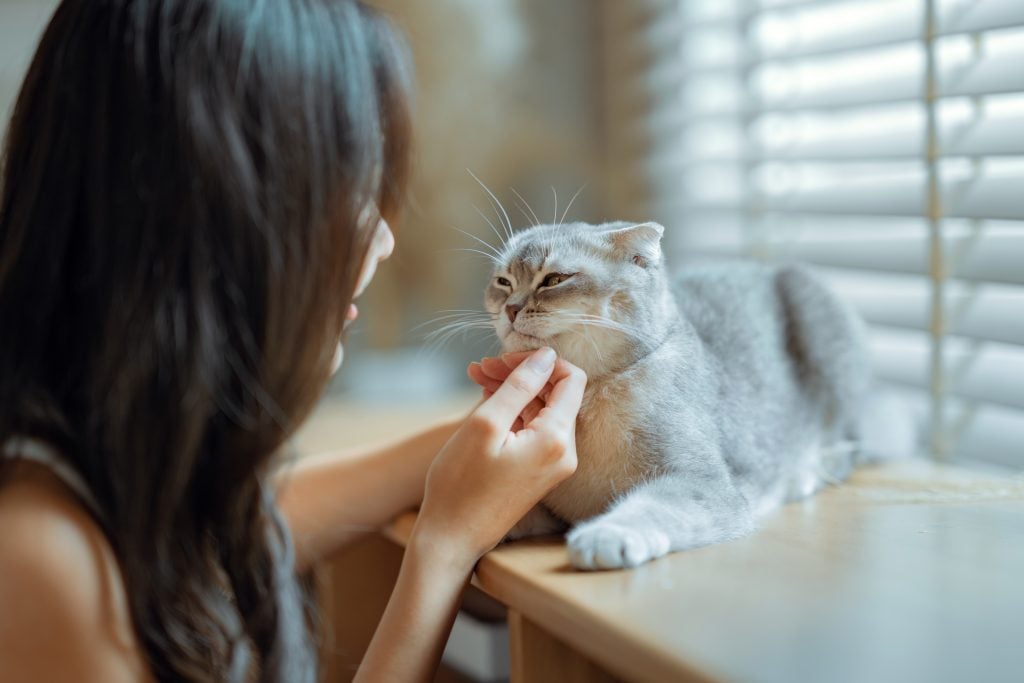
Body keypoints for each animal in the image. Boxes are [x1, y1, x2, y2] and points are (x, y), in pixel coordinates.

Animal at [481, 222, 872, 569]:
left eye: (555, 279)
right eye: (503, 281)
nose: (510, 309)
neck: (590, 391)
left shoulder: (705, 484)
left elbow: (652, 506)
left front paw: (607, 534)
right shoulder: (549, 504)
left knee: (850, 445)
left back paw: (805, 473)